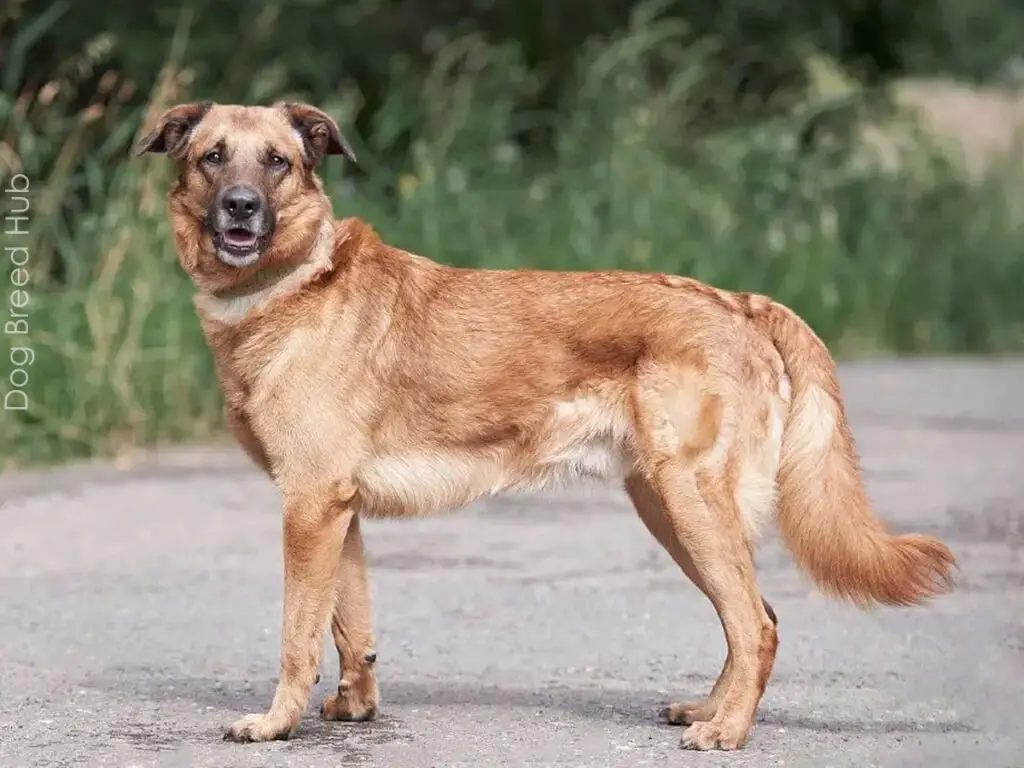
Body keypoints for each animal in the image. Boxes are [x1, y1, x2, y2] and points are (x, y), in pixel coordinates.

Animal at [138, 100, 958, 753]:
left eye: (276, 162)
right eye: (213, 156)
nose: (240, 207)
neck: (293, 282)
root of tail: (739, 302)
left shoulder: (309, 506)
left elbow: (297, 637)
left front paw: (275, 724)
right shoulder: (336, 514)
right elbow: (351, 627)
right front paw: (354, 709)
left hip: (692, 504)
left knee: (756, 624)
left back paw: (726, 732)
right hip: (669, 511)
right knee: (754, 620)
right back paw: (709, 710)